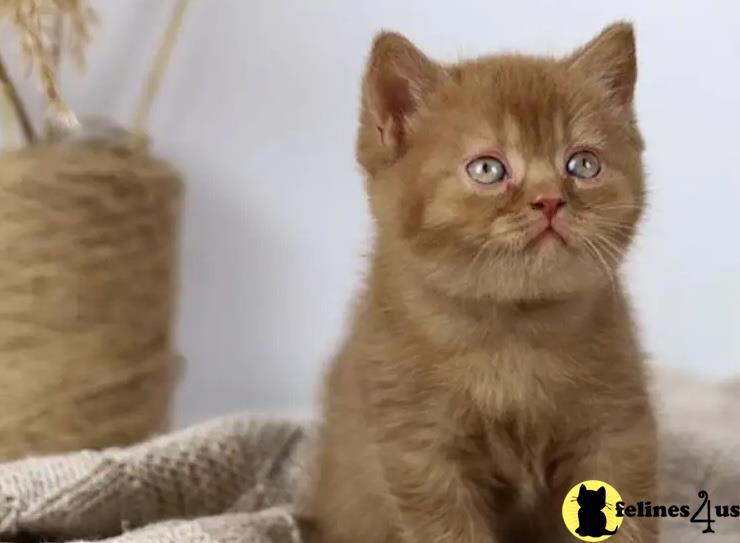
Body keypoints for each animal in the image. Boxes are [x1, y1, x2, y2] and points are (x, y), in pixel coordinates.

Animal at [306, 22, 660, 543]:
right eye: (488, 169)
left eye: (583, 164)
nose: (549, 201)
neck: (511, 338)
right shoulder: (421, 453)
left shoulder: (620, 428)